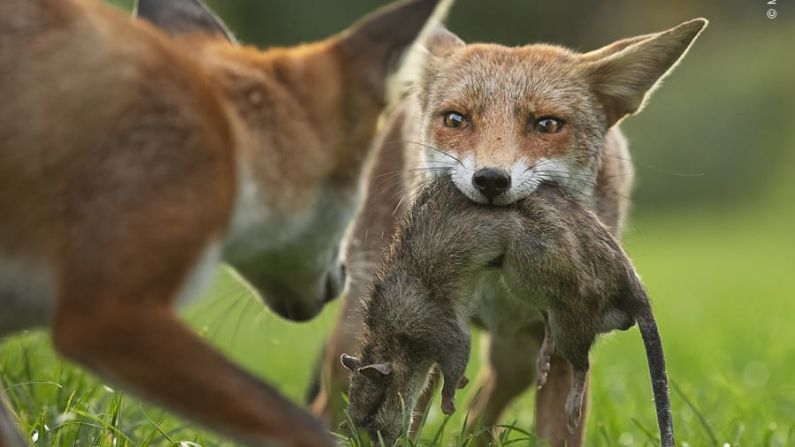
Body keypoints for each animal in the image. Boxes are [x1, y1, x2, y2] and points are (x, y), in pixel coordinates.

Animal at [346, 178, 676, 447]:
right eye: (354, 420)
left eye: (373, 413)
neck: (387, 337)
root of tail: (632, 287)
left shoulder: (437, 325)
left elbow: (457, 355)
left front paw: (450, 400)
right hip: (528, 282)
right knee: (548, 319)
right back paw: (544, 355)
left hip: (552, 287)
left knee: (580, 362)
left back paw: (572, 401)